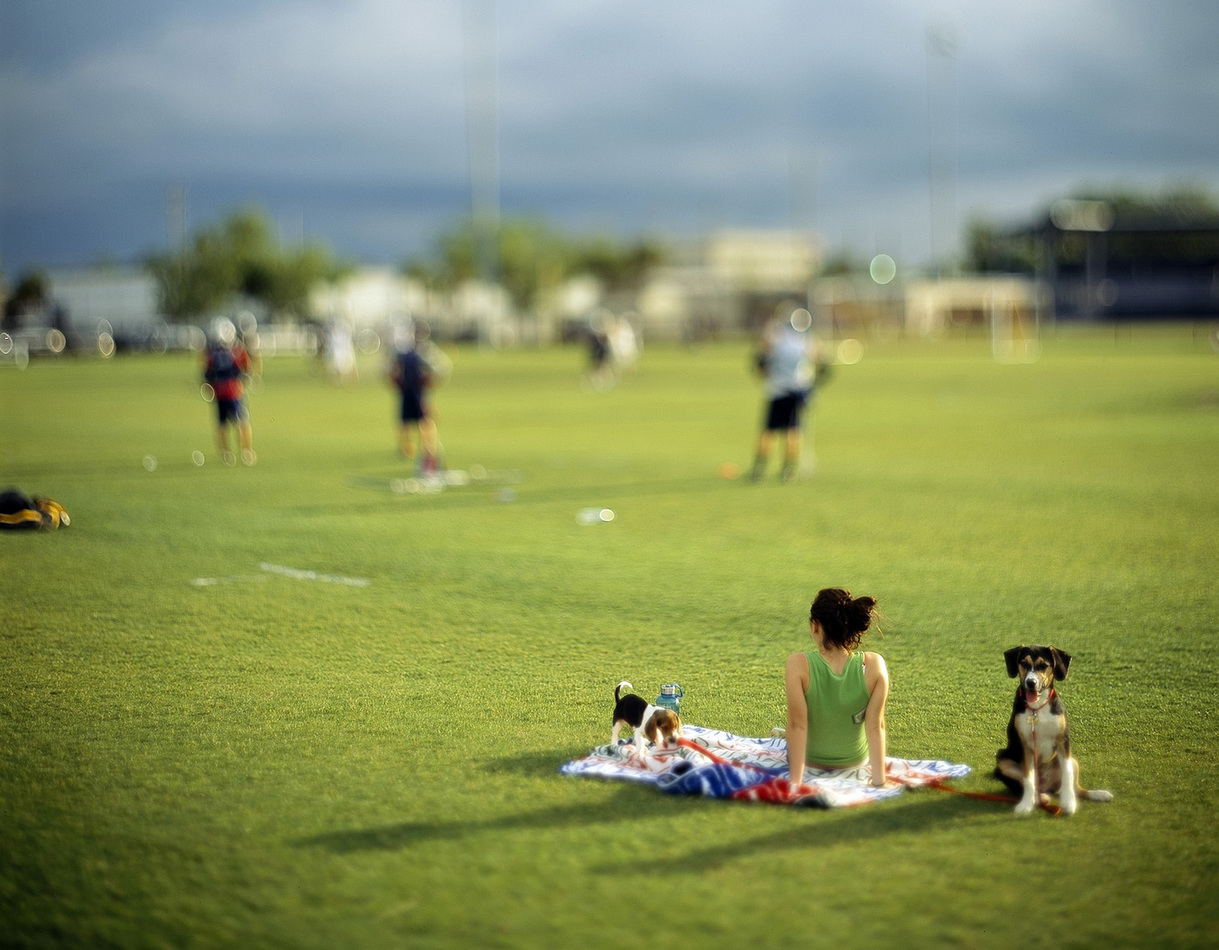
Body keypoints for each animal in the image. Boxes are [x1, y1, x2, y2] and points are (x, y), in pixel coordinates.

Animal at [989, 648, 1116, 819]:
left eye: (1043, 665)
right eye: (1024, 663)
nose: (1031, 683)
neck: (1037, 707)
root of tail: (1047, 785)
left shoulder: (1063, 741)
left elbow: (1067, 775)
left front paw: (1069, 803)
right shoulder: (1026, 745)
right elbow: (1028, 778)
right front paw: (1026, 805)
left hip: (1073, 761)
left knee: (1077, 788)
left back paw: (1099, 794)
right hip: (1002, 760)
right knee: (1024, 786)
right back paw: (1039, 798)